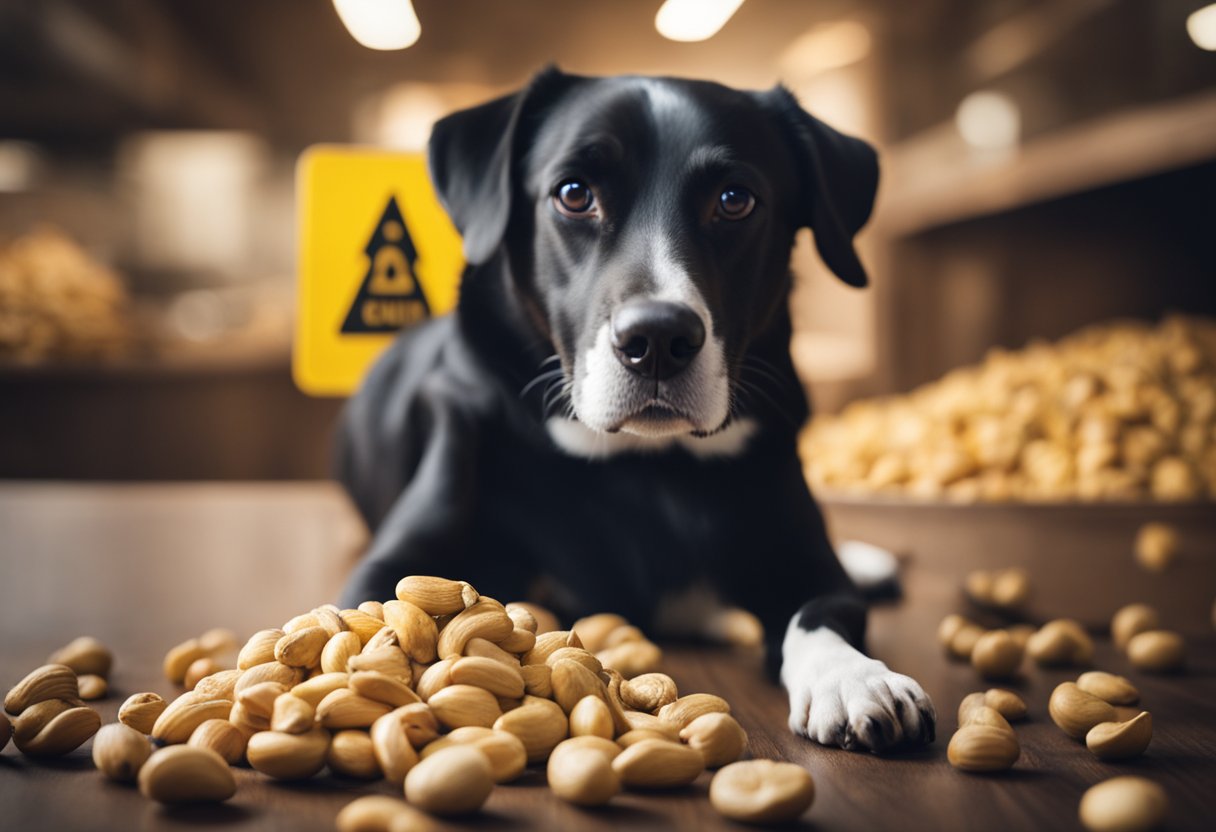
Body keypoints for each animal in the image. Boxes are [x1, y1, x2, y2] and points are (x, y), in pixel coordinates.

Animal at [338, 68, 933, 749]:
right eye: (574, 194)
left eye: (735, 200)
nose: (657, 340)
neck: (646, 465)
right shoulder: (397, 565)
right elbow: (379, 616)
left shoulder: (802, 561)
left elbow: (823, 610)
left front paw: (855, 676)